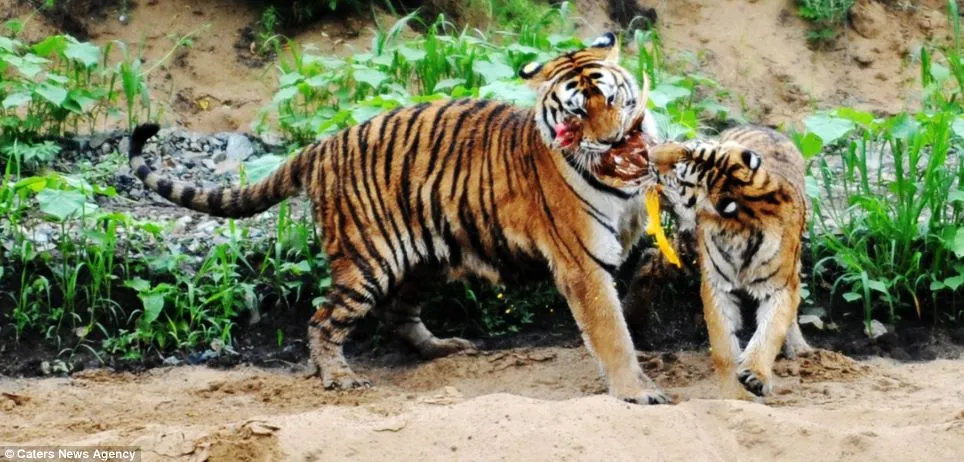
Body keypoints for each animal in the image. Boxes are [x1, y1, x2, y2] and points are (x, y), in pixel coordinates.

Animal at [126, 32, 671, 404]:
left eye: (612, 99)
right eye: (576, 113)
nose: (611, 140)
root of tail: (323, 145)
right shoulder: (582, 263)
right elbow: (610, 331)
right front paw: (636, 391)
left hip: (427, 256)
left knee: (398, 314)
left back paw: (444, 348)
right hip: (368, 261)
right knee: (323, 320)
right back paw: (339, 377)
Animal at [645, 125, 814, 399]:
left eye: (677, 173)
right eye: (687, 147)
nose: (649, 151)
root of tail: (764, 127)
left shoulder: (780, 288)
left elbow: (770, 331)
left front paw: (755, 376)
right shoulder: (716, 286)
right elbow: (723, 344)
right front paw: (733, 393)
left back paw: (800, 349)